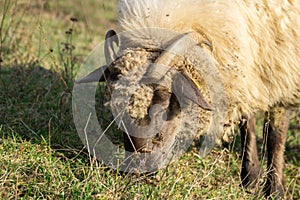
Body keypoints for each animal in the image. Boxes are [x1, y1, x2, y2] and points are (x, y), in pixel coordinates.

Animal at [76, 0, 298, 197]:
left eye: (162, 110)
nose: (139, 173)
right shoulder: (250, 67)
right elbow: (248, 123)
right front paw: (250, 179)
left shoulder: (284, 66)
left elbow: (275, 135)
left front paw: (275, 190)